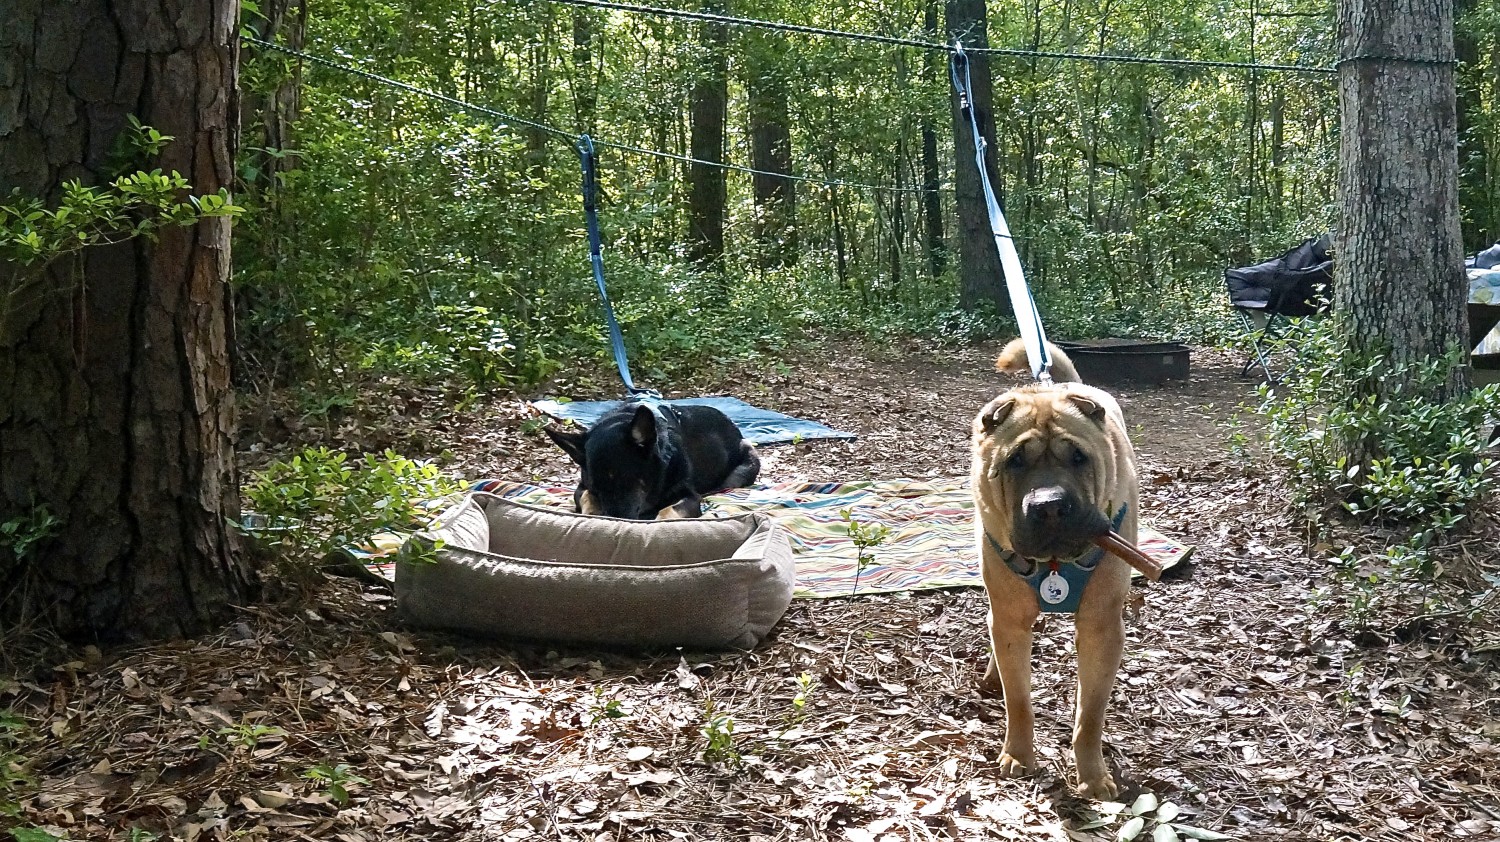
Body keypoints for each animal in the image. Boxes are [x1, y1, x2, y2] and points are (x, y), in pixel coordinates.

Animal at [546, 399, 762, 519]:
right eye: (596, 489)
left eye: (624, 481)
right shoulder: (582, 487)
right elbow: (586, 498)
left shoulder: (689, 496)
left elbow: (669, 511)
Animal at [972, 336, 1158, 792]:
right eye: (1015, 461)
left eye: (1078, 457)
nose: (1050, 506)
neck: (1054, 565)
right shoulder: (1010, 617)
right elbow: (1018, 699)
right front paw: (1019, 755)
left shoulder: (1101, 625)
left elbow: (1089, 715)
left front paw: (1092, 776)